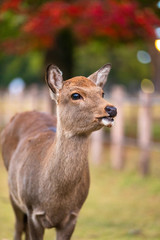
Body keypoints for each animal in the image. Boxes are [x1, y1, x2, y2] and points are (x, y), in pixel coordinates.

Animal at [0, 63, 117, 240]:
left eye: (102, 93)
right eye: (75, 95)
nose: (111, 109)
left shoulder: (73, 215)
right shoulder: (33, 210)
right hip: (13, 192)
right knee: (18, 226)